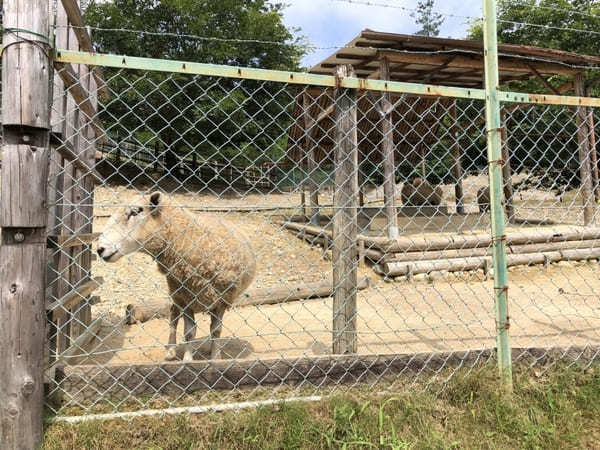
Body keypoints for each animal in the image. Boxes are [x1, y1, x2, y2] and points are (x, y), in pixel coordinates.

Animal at [98, 192, 255, 362]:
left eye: (135, 211)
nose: (100, 249)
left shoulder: (223, 299)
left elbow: (216, 330)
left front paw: (215, 357)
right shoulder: (185, 298)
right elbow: (189, 331)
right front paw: (187, 359)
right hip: (176, 292)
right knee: (173, 315)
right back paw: (171, 351)